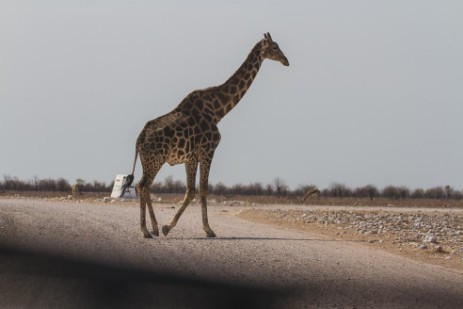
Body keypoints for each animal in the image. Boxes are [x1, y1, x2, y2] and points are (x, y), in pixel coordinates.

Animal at [123, 32, 290, 237]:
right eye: (274, 47)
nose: (286, 60)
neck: (218, 111)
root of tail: (139, 139)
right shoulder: (208, 150)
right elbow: (203, 189)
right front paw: (208, 229)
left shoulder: (191, 157)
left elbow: (190, 191)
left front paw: (167, 227)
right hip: (155, 159)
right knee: (143, 186)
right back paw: (145, 230)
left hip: (149, 160)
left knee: (144, 186)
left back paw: (153, 228)